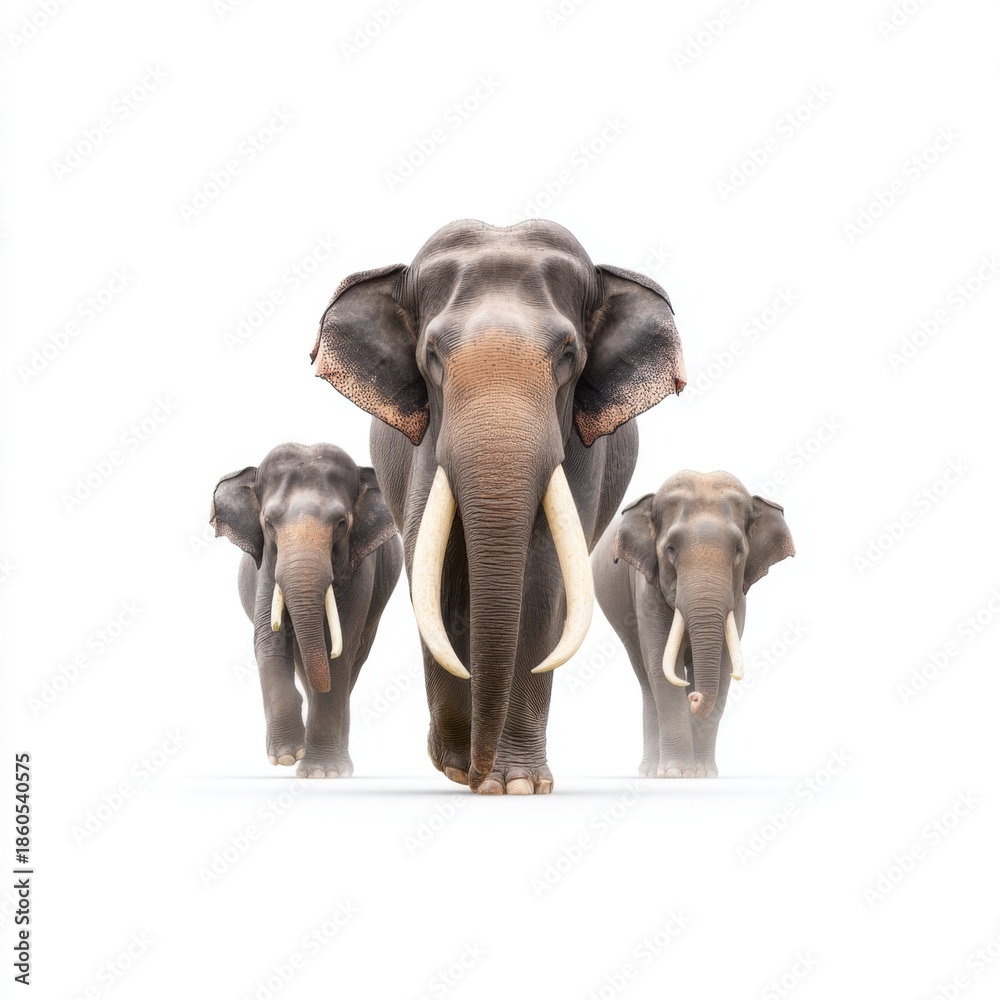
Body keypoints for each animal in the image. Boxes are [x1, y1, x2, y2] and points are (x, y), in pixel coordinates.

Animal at [210, 443, 402, 777]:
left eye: (341, 523)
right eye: (268, 523)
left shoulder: (361, 568)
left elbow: (340, 651)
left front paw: (323, 772)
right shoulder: (267, 564)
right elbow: (269, 640)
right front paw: (287, 756)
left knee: (354, 660)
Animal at [309, 219, 686, 793]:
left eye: (568, 355)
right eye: (432, 355)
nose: (476, 770)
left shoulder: (580, 449)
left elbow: (544, 578)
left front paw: (515, 784)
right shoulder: (426, 441)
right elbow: (433, 565)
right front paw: (458, 764)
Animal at [592, 471, 794, 777]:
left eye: (739, 550)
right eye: (670, 549)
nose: (696, 698)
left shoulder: (738, 600)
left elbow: (723, 666)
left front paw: (703, 774)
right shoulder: (647, 590)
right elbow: (662, 667)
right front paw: (676, 773)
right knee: (646, 677)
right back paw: (650, 770)